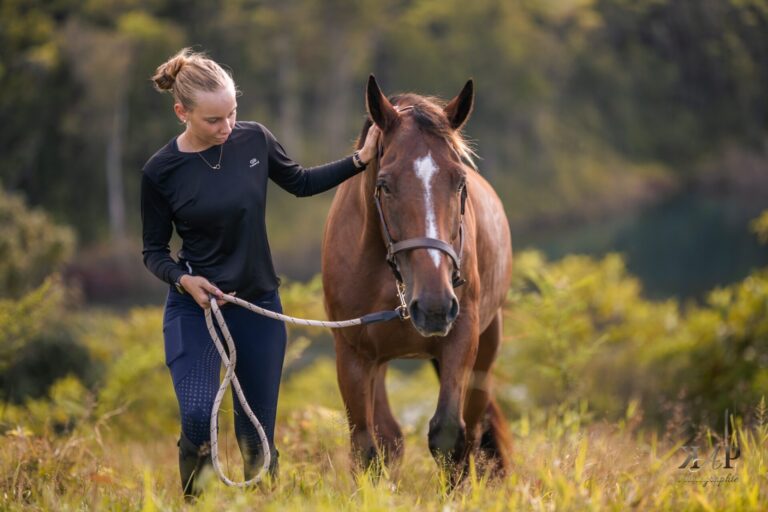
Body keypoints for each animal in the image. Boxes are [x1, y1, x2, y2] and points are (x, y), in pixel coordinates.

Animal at [320, 76, 512, 480]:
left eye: (459, 182)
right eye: (385, 184)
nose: (435, 306)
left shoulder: (461, 336)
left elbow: (449, 435)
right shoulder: (353, 353)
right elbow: (367, 445)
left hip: (487, 347)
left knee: (475, 430)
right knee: (388, 436)